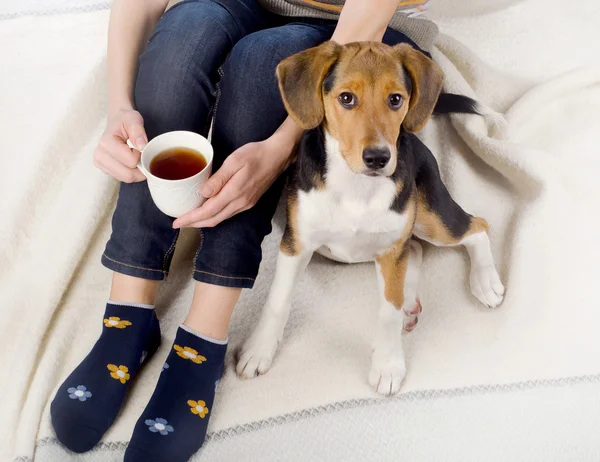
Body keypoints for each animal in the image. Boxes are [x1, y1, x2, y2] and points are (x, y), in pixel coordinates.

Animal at [237, 41, 504, 396]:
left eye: (396, 99)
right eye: (346, 98)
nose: (378, 157)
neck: (355, 186)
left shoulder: (391, 250)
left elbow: (388, 311)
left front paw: (388, 365)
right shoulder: (296, 244)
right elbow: (278, 301)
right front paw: (258, 351)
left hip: (429, 217)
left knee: (475, 226)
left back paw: (484, 282)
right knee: (417, 249)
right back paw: (411, 303)